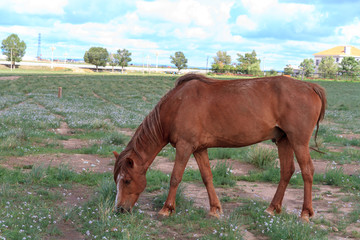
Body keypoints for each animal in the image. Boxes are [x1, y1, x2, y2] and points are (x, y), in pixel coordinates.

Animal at [112, 73, 326, 221]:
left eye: (127, 181)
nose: (120, 210)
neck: (177, 106)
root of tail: (310, 86)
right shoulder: (198, 149)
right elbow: (207, 177)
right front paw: (215, 209)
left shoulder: (184, 146)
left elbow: (175, 177)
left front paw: (167, 209)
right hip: (284, 140)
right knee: (286, 171)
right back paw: (272, 208)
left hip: (298, 141)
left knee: (307, 171)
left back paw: (305, 213)